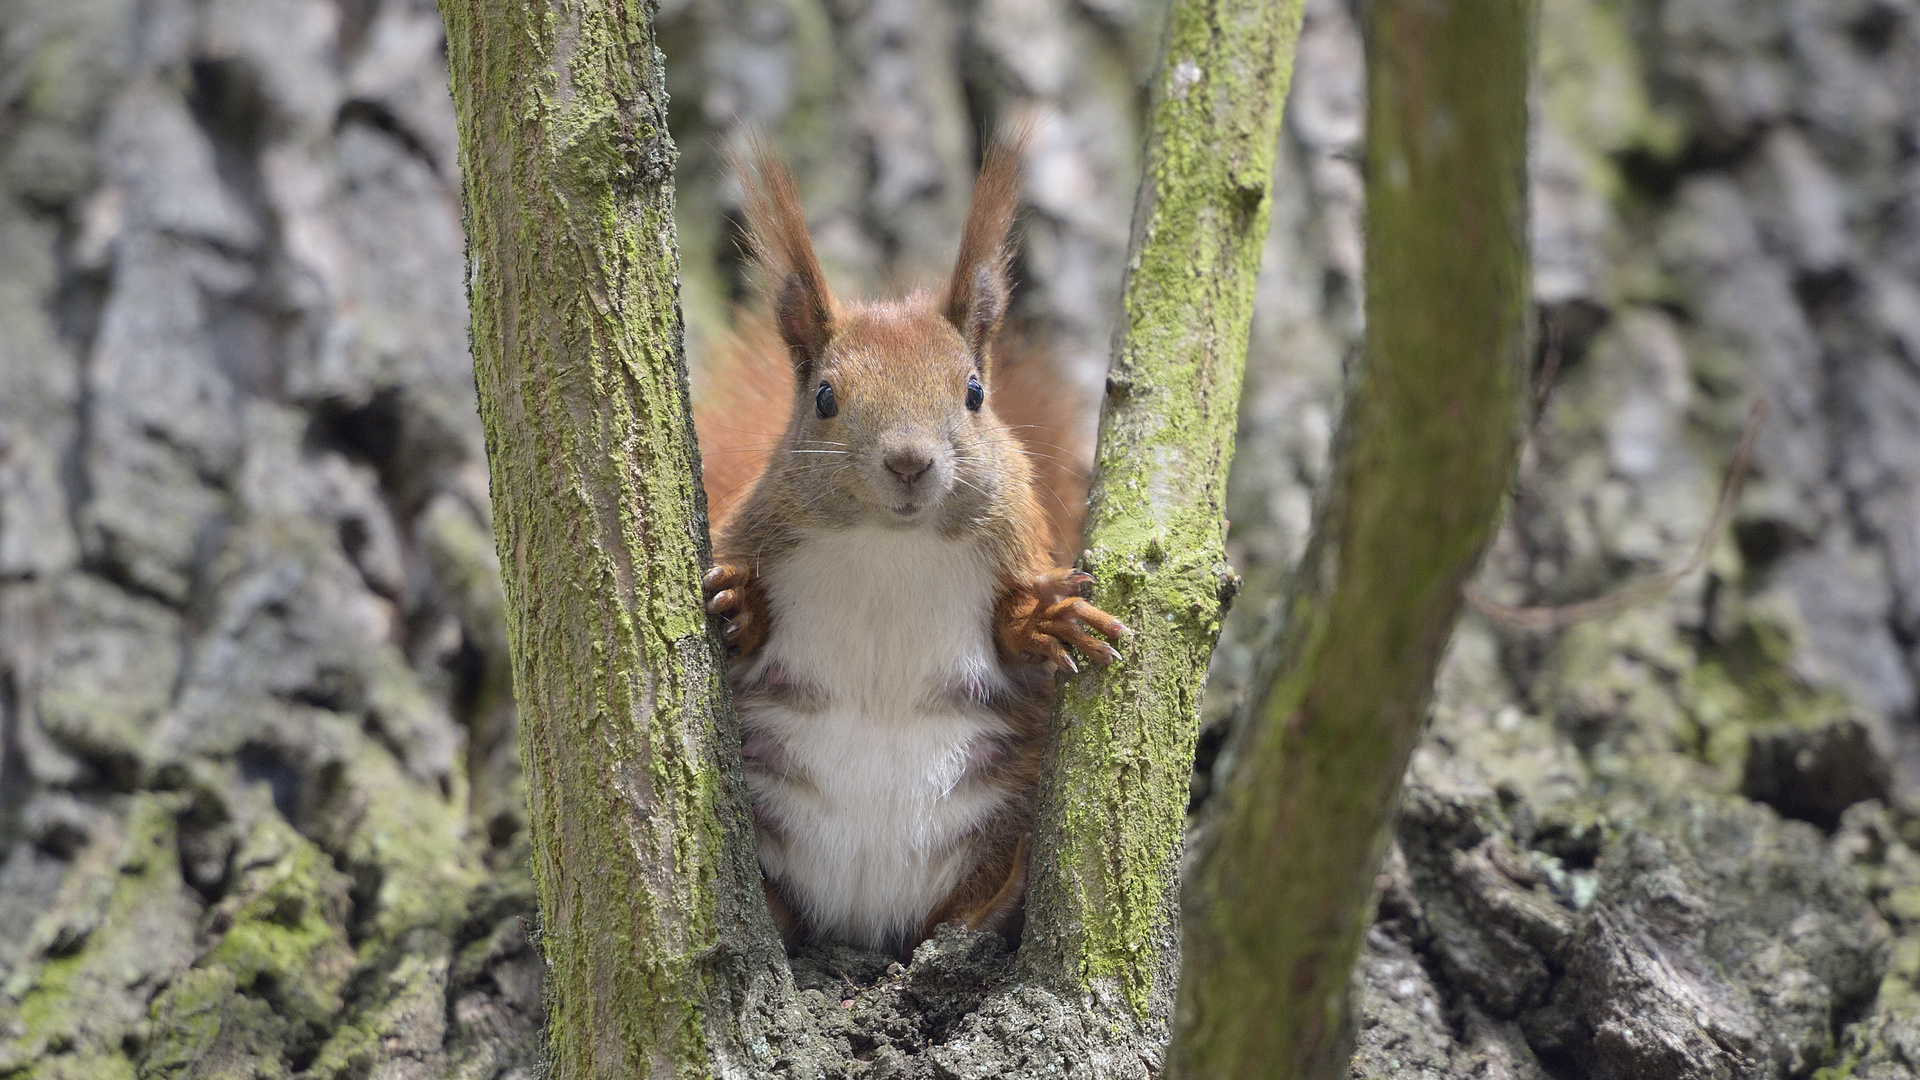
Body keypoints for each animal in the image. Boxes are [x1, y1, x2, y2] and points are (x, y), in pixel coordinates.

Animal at [698, 132, 1128, 949]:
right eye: (825, 398)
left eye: (974, 393)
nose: (908, 461)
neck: (888, 547)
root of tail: (865, 914)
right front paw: (740, 607)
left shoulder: (1016, 541)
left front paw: (1043, 620)